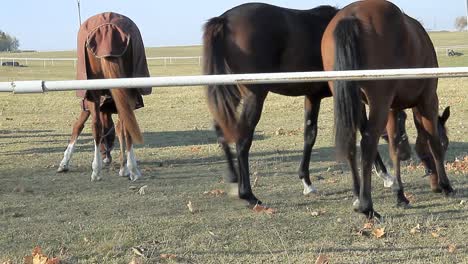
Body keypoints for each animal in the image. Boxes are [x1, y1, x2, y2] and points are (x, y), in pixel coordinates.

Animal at [56, 12, 152, 182]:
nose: (107, 158)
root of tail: (109, 29)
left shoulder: (87, 104)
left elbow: (78, 126)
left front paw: (64, 162)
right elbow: (121, 129)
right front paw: (124, 168)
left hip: (93, 94)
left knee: (96, 125)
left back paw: (99, 170)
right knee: (126, 126)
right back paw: (132, 170)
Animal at [204, 3, 410, 207]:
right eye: (402, 118)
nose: (405, 153)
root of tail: (224, 20)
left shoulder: (312, 96)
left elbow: (310, 135)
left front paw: (306, 182)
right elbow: (363, 128)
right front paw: (385, 175)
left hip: (231, 92)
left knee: (221, 130)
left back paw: (233, 180)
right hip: (254, 95)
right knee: (242, 139)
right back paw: (248, 194)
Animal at [322, 0, 454, 219]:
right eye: (447, 143)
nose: (434, 184)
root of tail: (351, 16)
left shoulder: (393, 109)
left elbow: (395, 148)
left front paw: (400, 194)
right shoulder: (428, 100)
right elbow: (432, 141)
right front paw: (446, 186)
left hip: (354, 102)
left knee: (352, 143)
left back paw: (358, 196)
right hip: (379, 102)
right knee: (368, 143)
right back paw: (366, 206)